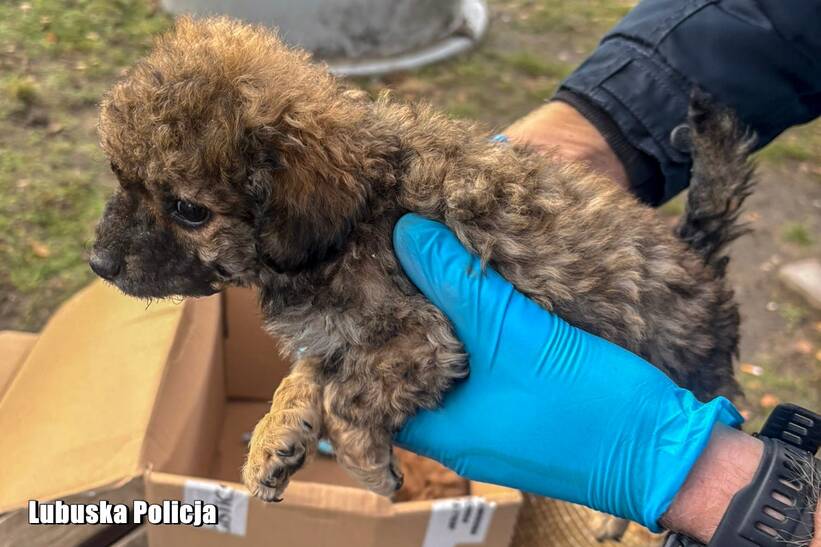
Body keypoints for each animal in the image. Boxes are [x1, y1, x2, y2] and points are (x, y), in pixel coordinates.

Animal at [89, 17, 748, 512]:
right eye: (120, 177)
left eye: (187, 209)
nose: (98, 262)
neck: (359, 209)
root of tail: (701, 264)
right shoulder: (339, 332)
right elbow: (308, 372)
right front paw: (277, 435)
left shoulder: (422, 338)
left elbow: (345, 398)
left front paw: (365, 464)